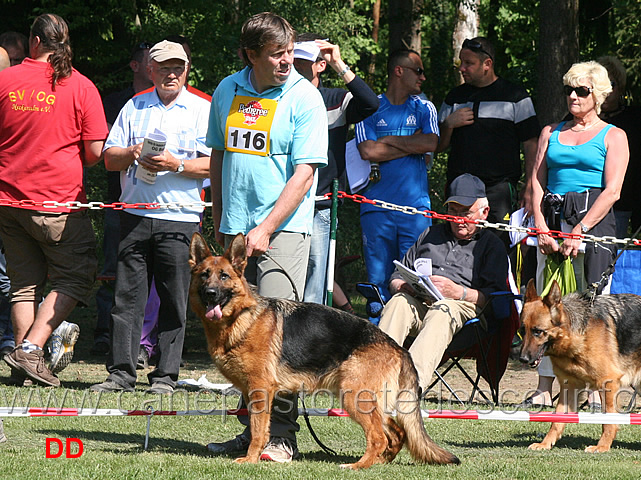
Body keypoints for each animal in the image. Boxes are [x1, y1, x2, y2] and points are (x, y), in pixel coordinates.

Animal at [188, 232, 458, 468]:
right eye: (204, 275)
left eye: (224, 276)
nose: (211, 293)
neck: (241, 318)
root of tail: (397, 346)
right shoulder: (251, 391)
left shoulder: (260, 390)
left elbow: (257, 431)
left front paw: (251, 459)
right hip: (370, 401)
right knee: (397, 432)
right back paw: (380, 462)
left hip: (354, 397)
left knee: (379, 437)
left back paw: (358, 466)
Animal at [516, 280, 640, 452]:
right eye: (523, 330)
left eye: (538, 331)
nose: (522, 359)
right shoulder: (568, 386)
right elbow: (557, 419)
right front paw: (545, 443)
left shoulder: (608, 382)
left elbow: (608, 420)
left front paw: (602, 446)